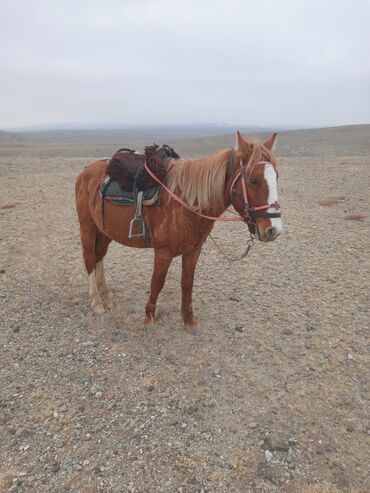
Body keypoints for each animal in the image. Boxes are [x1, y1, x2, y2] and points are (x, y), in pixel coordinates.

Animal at [76, 131, 284, 330]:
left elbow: (187, 283)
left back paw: (105, 291)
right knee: (90, 259)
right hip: (87, 226)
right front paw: (149, 316)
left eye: (276, 177)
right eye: (253, 180)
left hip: (104, 231)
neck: (186, 203)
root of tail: (87, 170)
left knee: (99, 255)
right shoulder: (163, 253)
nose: (274, 230)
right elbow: (157, 282)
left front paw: (188, 320)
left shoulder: (193, 251)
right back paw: (97, 302)